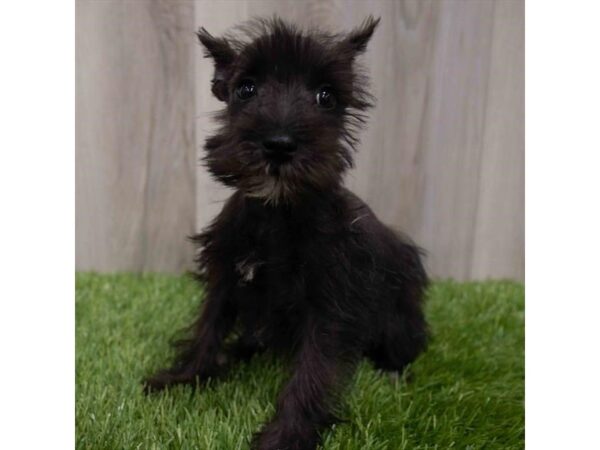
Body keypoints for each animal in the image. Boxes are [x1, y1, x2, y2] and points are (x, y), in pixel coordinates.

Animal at [145, 16, 426, 450]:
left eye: (326, 96)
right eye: (246, 89)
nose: (279, 144)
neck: (277, 213)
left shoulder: (330, 305)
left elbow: (312, 372)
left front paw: (286, 435)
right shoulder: (226, 276)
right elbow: (207, 327)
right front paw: (183, 377)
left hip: (398, 317)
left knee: (404, 348)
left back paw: (393, 373)